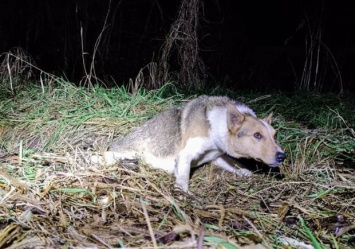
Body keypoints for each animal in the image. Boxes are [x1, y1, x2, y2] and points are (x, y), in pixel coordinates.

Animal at [92, 95, 286, 193]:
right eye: (257, 135)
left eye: (275, 135)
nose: (282, 156)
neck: (214, 126)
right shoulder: (186, 155)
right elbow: (184, 178)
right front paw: (182, 195)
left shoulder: (216, 157)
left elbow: (239, 167)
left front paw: (249, 174)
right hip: (126, 152)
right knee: (107, 155)